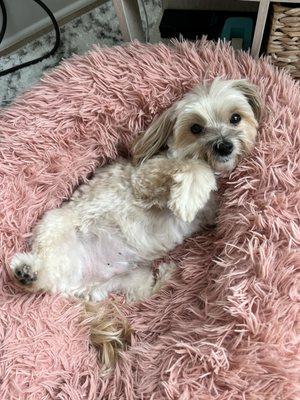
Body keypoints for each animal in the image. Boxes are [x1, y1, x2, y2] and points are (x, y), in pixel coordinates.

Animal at [10, 78, 262, 368]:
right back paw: (26, 272)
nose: (224, 146)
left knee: (140, 292)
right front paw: (188, 195)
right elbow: (193, 168)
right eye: (195, 128)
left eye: (235, 118)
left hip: (130, 278)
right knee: (46, 271)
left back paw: (166, 276)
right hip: (56, 225)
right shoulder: (145, 179)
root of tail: (79, 285)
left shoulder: (207, 211)